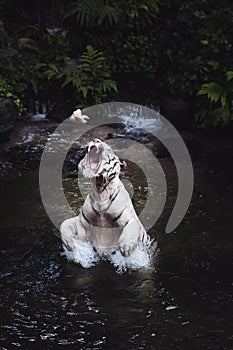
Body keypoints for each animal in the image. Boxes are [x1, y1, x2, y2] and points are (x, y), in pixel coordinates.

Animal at [61, 138, 154, 266]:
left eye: (109, 149)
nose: (95, 140)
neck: (100, 191)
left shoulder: (130, 218)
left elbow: (133, 225)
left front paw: (126, 248)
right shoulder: (82, 224)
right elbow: (64, 223)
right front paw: (69, 244)